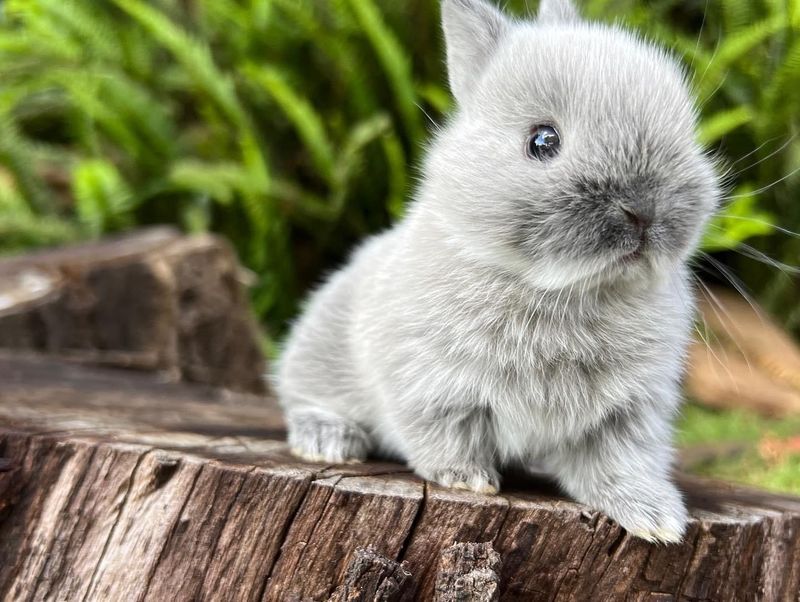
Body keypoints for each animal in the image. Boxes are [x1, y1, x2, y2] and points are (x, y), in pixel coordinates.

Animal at [276, 0, 720, 544]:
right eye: (543, 141)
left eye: (686, 131)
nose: (643, 210)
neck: (567, 289)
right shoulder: (430, 386)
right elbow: (442, 435)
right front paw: (468, 481)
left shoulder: (628, 415)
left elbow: (621, 465)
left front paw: (658, 522)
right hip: (319, 356)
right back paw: (329, 442)